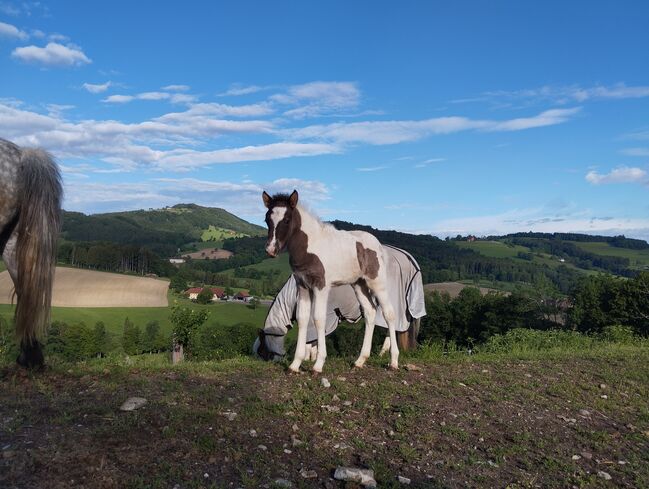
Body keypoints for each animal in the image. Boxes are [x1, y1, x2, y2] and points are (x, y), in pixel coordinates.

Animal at [260, 189, 398, 372]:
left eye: (287, 219)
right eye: (267, 219)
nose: (271, 250)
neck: (310, 246)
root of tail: (379, 246)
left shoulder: (321, 286)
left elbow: (319, 319)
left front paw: (318, 365)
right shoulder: (302, 286)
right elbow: (303, 319)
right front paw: (295, 365)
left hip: (377, 283)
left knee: (389, 313)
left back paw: (394, 361)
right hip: (359, 284)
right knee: (370, 312)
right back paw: (360, 360)